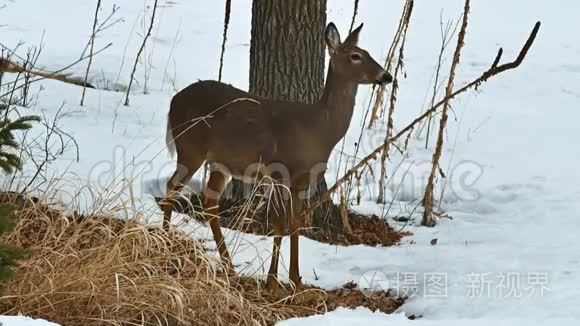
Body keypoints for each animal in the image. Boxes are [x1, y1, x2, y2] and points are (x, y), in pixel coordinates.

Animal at [161, 21, 392, 290]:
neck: (319, 130)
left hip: (221, 162)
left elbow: (291, 222)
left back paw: (229, 268)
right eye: (355, 56)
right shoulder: (284, 170)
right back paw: (165, 242)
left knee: (209, 201)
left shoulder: (300, 177)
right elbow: (284, 222)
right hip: (190, 147)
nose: (386, 76)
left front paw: (288, 279)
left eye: (366, 52)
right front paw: (280, 280)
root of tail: (173, 102)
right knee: (172, 186)